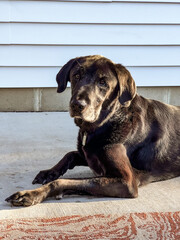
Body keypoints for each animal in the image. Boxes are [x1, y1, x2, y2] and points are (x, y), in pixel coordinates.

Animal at [5, 54, 180, 206]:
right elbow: (70, 155)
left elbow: (63, 182)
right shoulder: (88, 154)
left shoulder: (126, 181)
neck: (105, 122)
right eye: (76, 76)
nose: (77, 105)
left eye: (103, 82)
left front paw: (32, 194)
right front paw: (49, 172)